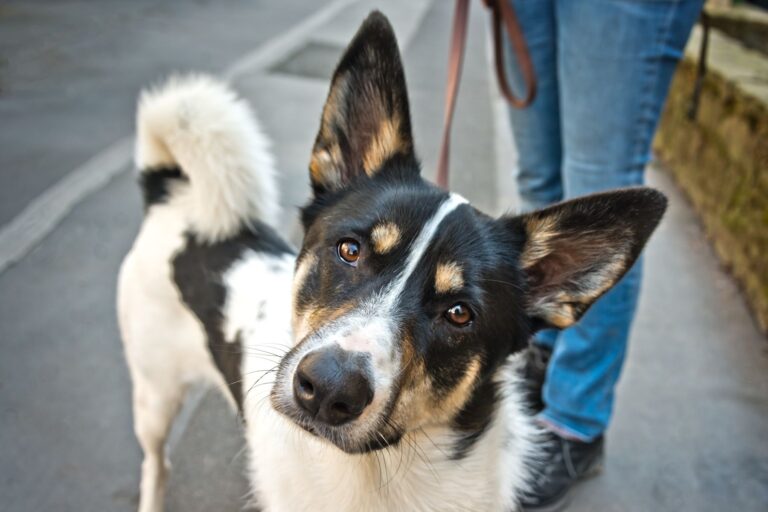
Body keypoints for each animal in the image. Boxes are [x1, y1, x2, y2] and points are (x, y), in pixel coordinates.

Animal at [118, 12, 664, 512]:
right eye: (350, 250)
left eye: (459, 313)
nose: (328, 388)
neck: (375, 474)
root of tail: (174, 196)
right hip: (153, 396)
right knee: (156, 463)